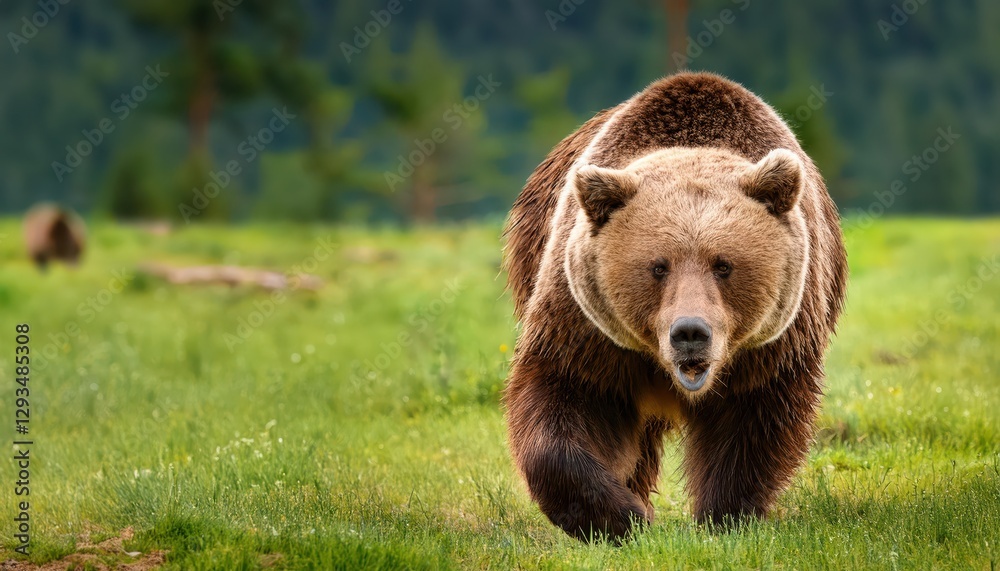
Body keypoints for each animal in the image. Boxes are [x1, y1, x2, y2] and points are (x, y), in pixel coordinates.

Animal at [501, 72, 848, 542]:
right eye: (657, 266)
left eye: (723, 264)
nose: (689, 332)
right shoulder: (585, 327)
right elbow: (566, 399)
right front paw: (621, 516)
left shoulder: (772, 345)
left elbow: (754, 423)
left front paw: (723, 516)